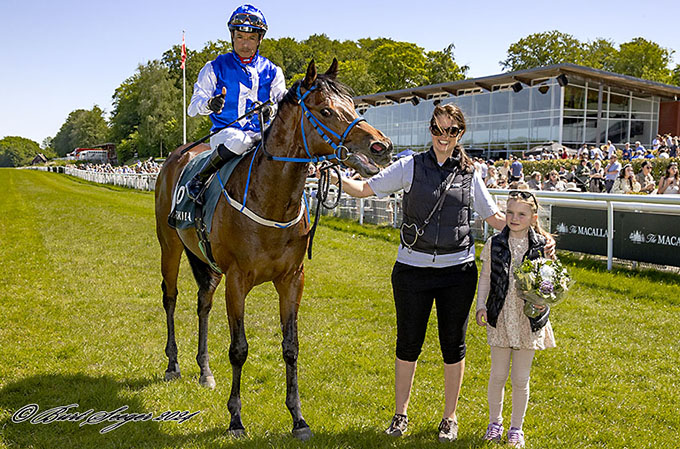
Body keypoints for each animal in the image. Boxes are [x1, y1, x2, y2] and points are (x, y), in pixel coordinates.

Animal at [152, 58, 390, 438]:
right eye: (326, 110)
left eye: (353, 106)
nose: (382, 147)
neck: (271, 200)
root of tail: (180, 153)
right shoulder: (237, 280)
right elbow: (239, 349)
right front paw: (235, 419)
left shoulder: (292, 278)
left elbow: (291, 347)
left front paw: (298, 418)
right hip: (170, 245)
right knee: (170, 298)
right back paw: (172, 364)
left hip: (207, 262)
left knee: (203, 302)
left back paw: (204, 371)